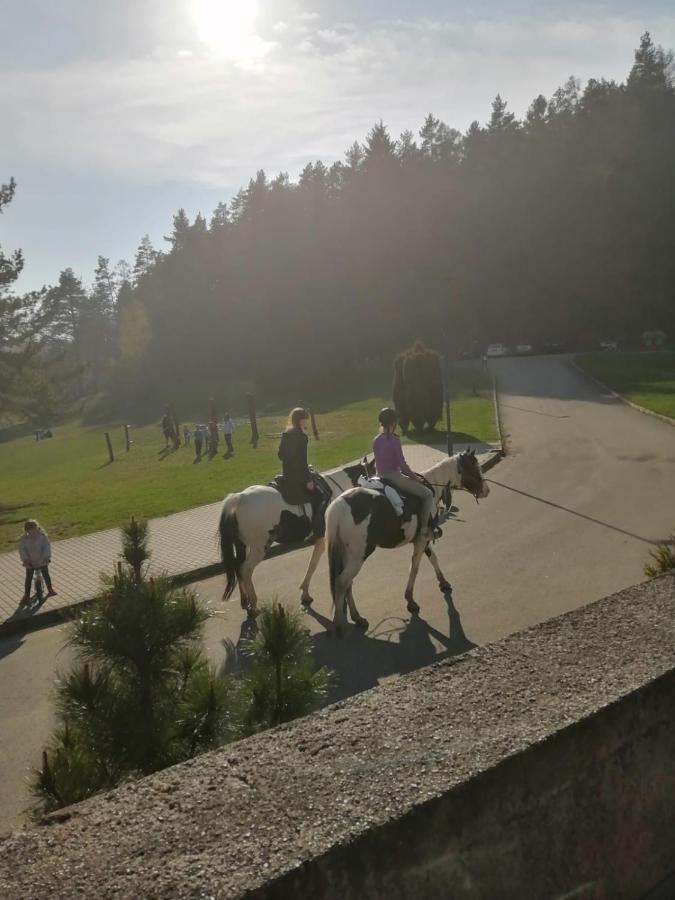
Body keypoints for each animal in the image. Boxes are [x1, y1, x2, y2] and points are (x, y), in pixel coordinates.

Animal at [218, 460, 372, 616]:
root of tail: (239, 498)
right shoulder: (324, 539)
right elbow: (313, 564)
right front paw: (306, 593)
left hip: (244, 545)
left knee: (238, 567)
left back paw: (245, 602)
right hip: (259, 548)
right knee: (245, 569)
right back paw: (254, 605)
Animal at [324, 448, 488, 632]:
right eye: (474, 468)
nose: (486, 490)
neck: (432, 486)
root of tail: (339, 505)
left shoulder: (424, 538)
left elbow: (433, 558)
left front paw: (443, 581)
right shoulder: (422, 539)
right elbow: (414, 567)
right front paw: (410, 600)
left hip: (348, 556)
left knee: (348, 583)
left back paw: (357, 617)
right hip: (358, 556)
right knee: (341, 582)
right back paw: (339, 624)